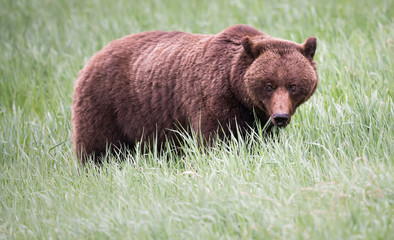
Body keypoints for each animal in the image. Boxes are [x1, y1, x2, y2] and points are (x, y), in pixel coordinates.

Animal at [71, 24, 318, 163]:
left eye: (293, 85)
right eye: (268, 85)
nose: (281, 117)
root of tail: (95, 56)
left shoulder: (258, 116)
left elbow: (261, 140)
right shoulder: (214, 97)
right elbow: (215, 140)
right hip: (106, 102)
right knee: (98, 147)